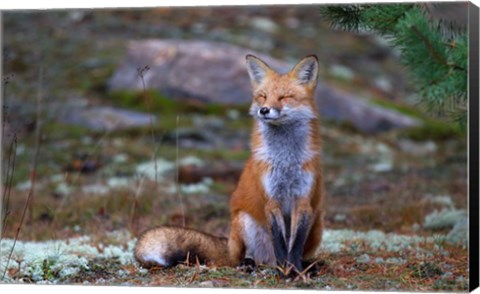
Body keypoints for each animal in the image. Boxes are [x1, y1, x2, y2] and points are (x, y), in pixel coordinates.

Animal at [134, 54, 322, 274]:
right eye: (262, 96)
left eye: (284, 97)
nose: (264, 110)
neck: (286, 161)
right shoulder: (271, 199)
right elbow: (280, 243)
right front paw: (285, 272)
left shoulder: (303, 200)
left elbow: (295, 245)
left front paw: (295, 271)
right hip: (243, 221)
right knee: (248, 257)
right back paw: (251, 264)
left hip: (316, 226)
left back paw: (308, 266)